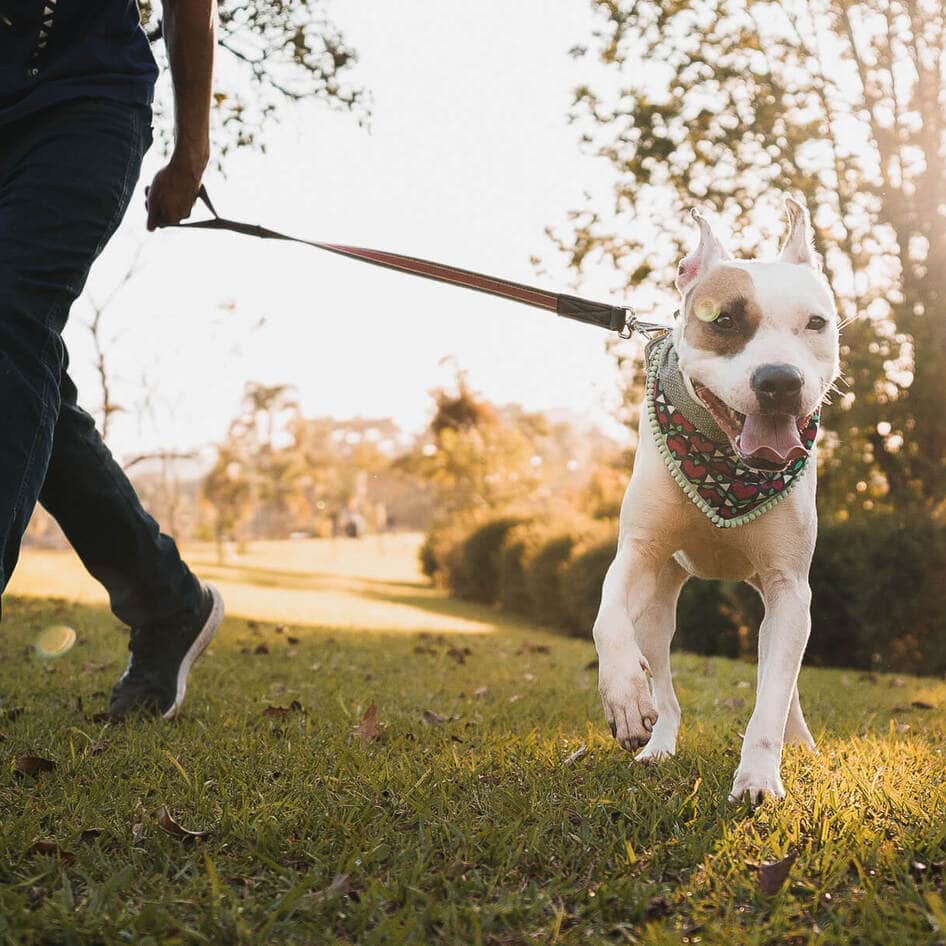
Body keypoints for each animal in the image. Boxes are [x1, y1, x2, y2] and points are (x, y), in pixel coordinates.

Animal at [592, 195, 836, 800]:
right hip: (659, 608)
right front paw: (624, 697)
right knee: (665, 681)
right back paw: (657, 743)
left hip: (777, 610)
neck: (726, 470)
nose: (780, 380)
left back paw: (798, 742)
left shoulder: (789, 588)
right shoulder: (638, 552)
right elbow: (606, 619)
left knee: (782, 675)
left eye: (816, 323)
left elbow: (772, 695)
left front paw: (758, 777)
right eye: (723, 320)